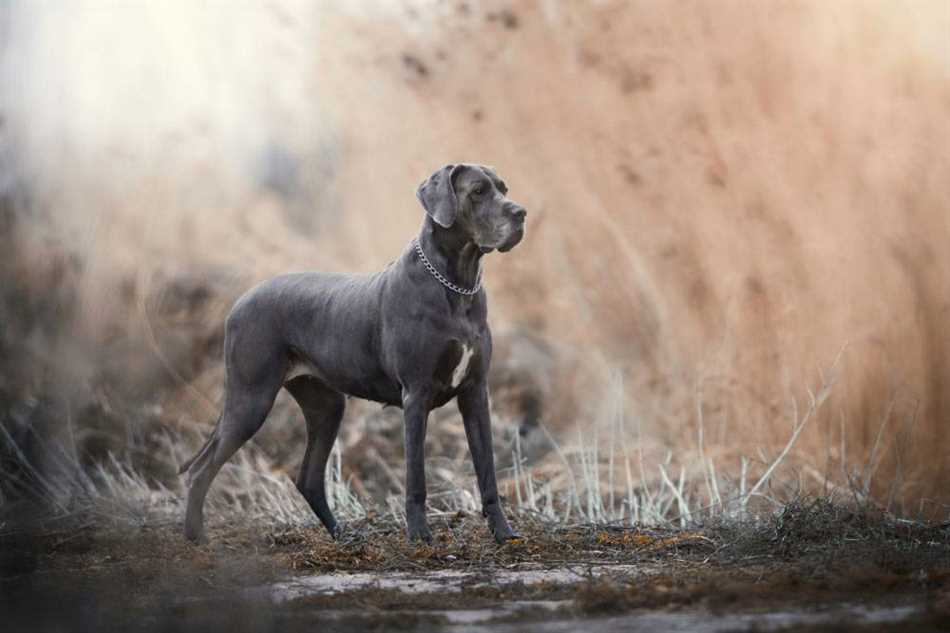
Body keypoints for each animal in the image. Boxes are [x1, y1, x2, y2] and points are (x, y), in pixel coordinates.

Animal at [180, 163, 528, 544]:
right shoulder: (416, 395)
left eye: (504, 189)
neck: (457, 285)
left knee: (308, 477)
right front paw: (419, 536)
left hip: (326, 405)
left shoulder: (476, 392)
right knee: (201, 468)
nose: (521, 213)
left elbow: (487, 469)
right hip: (250, 399)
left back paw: (341, 535)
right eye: (478, 191)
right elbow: (416, 477)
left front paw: (504, 532)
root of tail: (238, 303)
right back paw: (195, 536)